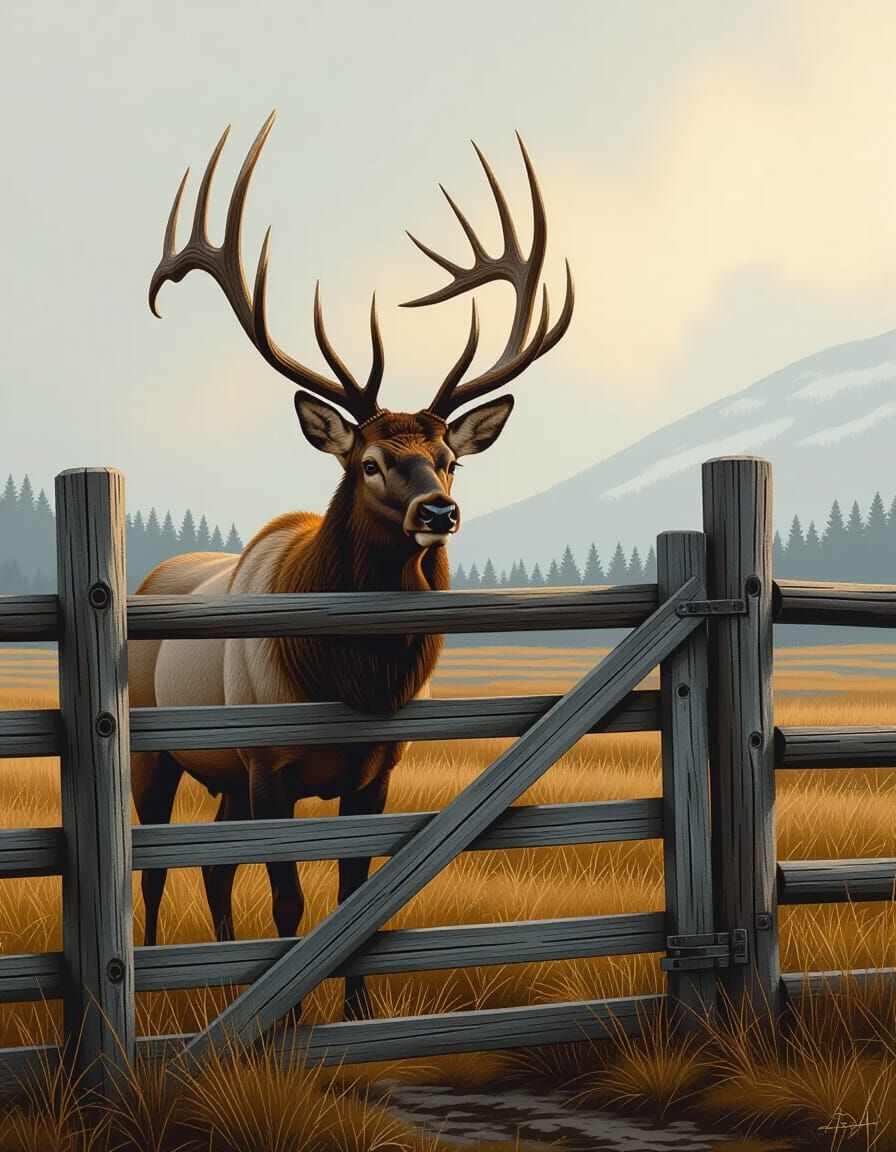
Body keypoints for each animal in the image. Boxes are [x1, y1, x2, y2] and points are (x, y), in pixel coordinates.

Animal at [129, 111, 573, 1022]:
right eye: (369, 462)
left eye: (449, 459)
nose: (438, 513)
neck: (351, 683)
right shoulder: (268, 765)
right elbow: (290, 899)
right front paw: (289, 1026)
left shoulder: (375, 773)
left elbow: (355, 893)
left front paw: (355, 1015)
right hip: (157, 753)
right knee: (156, 867)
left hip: (221, 777)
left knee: (213, 869)